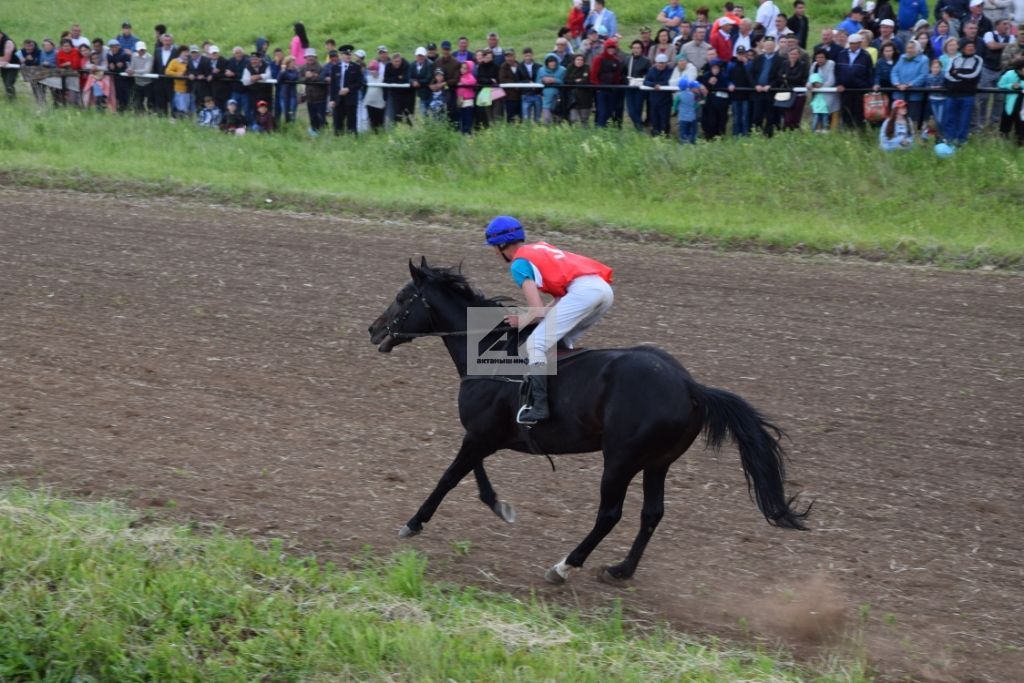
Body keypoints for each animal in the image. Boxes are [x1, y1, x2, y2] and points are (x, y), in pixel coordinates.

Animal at [368, 259, 806, 585]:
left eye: (402, 297)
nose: (373, 329)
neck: (486, 353)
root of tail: (690, 386)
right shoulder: (486, 436)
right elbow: (473, 475)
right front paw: (499, 506)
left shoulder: (480, 434)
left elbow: (450, 476)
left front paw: (413, 523)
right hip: (658, 462)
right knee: (652, 513)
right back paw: (621, 570)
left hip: (621, 459)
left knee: (610, 514)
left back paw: (564, 565)